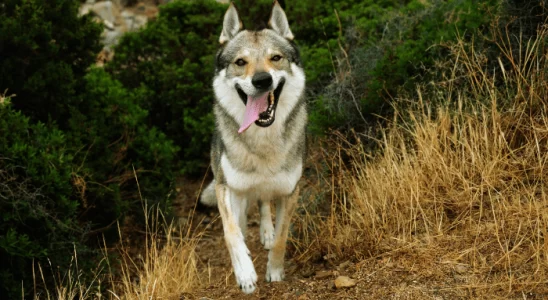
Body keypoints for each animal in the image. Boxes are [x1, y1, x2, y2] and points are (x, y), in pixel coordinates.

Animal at [199, 0, 306, 294]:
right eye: (240, 62)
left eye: (276, 58)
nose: (262, 80)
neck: (262, 142)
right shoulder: (225, 186)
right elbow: (231, 232)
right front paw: (245, 273)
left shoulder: (290, 191)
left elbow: (282, 236)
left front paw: (275, 271)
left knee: (264, 201)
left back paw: (265, 232)